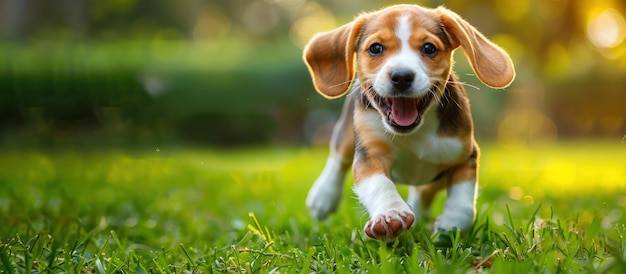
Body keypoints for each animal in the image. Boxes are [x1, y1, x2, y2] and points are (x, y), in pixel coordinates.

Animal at [302, 3, 512, 240]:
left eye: (429, 48)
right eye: (376, 48)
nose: (402, 76)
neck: (415, 133)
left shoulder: (464, 156)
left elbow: (463, 203)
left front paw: (451, 226)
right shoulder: (370, 155)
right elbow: (380, 184)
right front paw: (390, 214)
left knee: (422, 193)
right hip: (347, 131)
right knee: (339, 157)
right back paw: (322, 196)